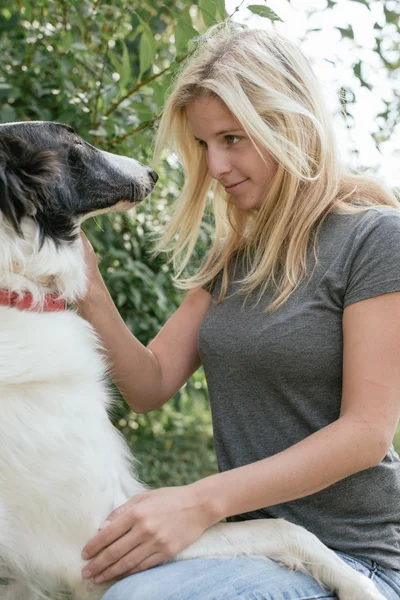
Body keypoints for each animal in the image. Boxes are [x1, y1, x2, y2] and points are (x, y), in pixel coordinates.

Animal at [0, 122, 384, 600]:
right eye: (76, 144)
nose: (152, 172)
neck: (17, 289)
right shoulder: (93, 544)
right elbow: (285, 529)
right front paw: (360, 586)